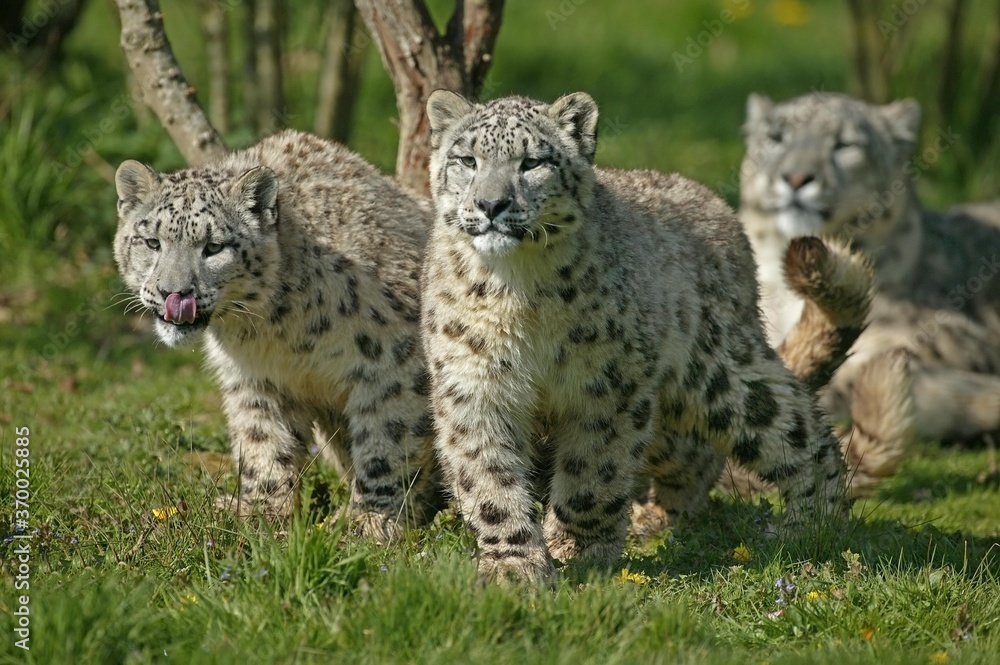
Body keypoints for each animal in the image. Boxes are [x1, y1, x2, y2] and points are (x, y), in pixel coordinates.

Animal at [113, 129, 441, 540]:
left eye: (214, 247)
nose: (174, 294)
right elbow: (263, 440)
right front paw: (261, 511)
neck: (276, 330)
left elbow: (387, 437)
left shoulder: (395, 361)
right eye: (152, 242)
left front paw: (370, 520)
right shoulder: (255, 378)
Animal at [421, 90, 850, 584]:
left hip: (717, 371)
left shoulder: (608, 385)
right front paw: (513, 566)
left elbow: (594, 471)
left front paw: (574, 548)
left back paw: (814, 526)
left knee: (796, 423)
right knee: (694, 455)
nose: (491, 204)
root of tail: (718, 206)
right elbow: (488, 474)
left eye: (532, 162)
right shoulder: (475, 383)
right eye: (467, 160)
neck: (519, 291)